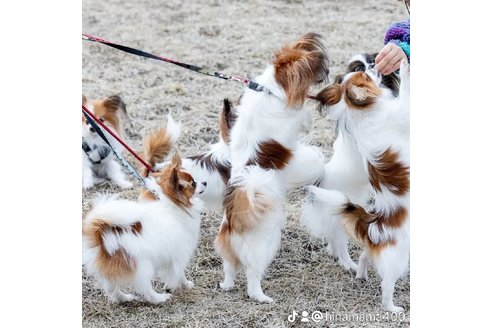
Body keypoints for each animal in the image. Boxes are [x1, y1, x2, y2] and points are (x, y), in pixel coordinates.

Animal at [83, 125, 207, 302]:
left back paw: (124, 298)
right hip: (143, 266)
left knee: (112, 287)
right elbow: (178, 273)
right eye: (192, 184)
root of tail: (102, 236)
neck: (172, 205)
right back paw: (160, 298)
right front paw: (183, 284)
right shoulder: (178, 253)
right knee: (145, 290)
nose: (204, 182)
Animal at [302, 59, 410, 312]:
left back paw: (361, 275)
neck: (362, 113)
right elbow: (407, 90)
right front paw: (404, 65)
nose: (374, 66)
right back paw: (392, 307)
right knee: (386, 284)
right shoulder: (403, 112)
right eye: (365, 75)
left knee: (364, 256)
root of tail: (373, 224)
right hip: (399, 258)